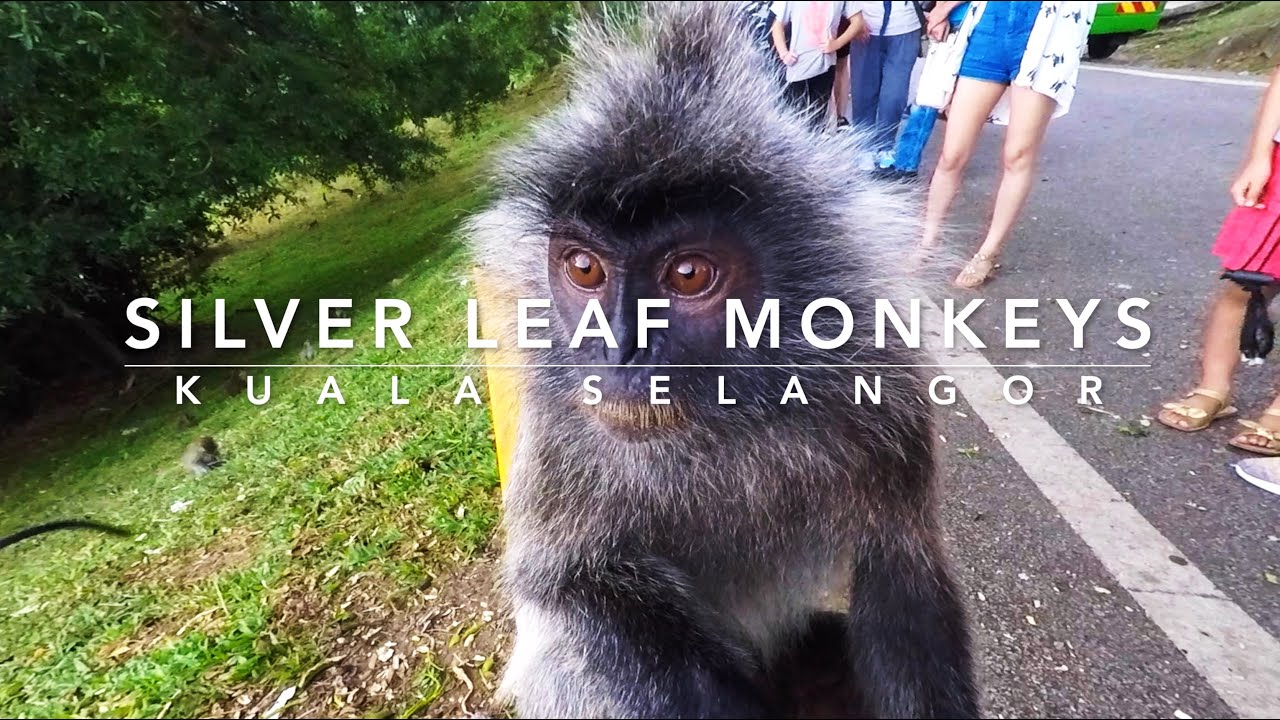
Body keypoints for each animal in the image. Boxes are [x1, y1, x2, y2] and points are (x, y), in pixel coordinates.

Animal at [462, 3, 977, 718]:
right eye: (584, 268)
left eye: (688, 274)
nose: (619, 351)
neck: (718, 425)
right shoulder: (558, 425)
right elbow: (566, 584)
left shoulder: (883, 388)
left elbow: (902, 570)